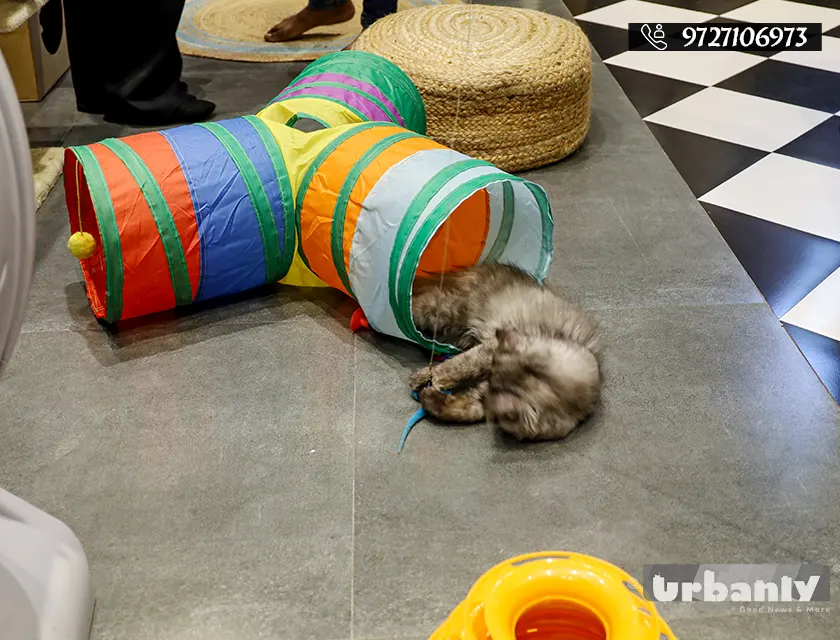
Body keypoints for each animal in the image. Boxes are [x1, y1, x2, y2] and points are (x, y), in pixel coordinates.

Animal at [410, 264, 600, 440]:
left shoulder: (483, 399)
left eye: (492, 383)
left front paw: (429, 397)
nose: (488, 381)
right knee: (418, 303)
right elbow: (457, 367)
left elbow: (463, 410)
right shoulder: (488, 350)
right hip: (446, 312)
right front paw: (424, 378)